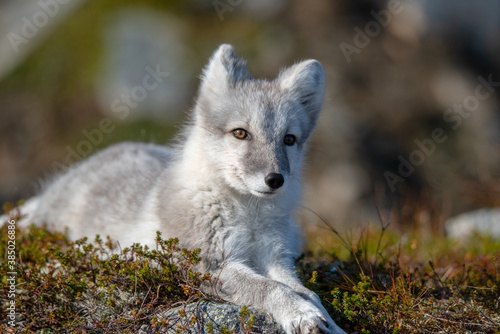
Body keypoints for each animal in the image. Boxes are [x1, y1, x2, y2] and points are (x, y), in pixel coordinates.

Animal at [4, 45, 344, 334]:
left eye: (289, 139)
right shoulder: (205, 266)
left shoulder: (276, 256)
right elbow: (272, 288)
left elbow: (304, 290)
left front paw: (326, 320)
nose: (275, 179)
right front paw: (301, 315)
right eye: (240, 133)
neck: (247, 215)